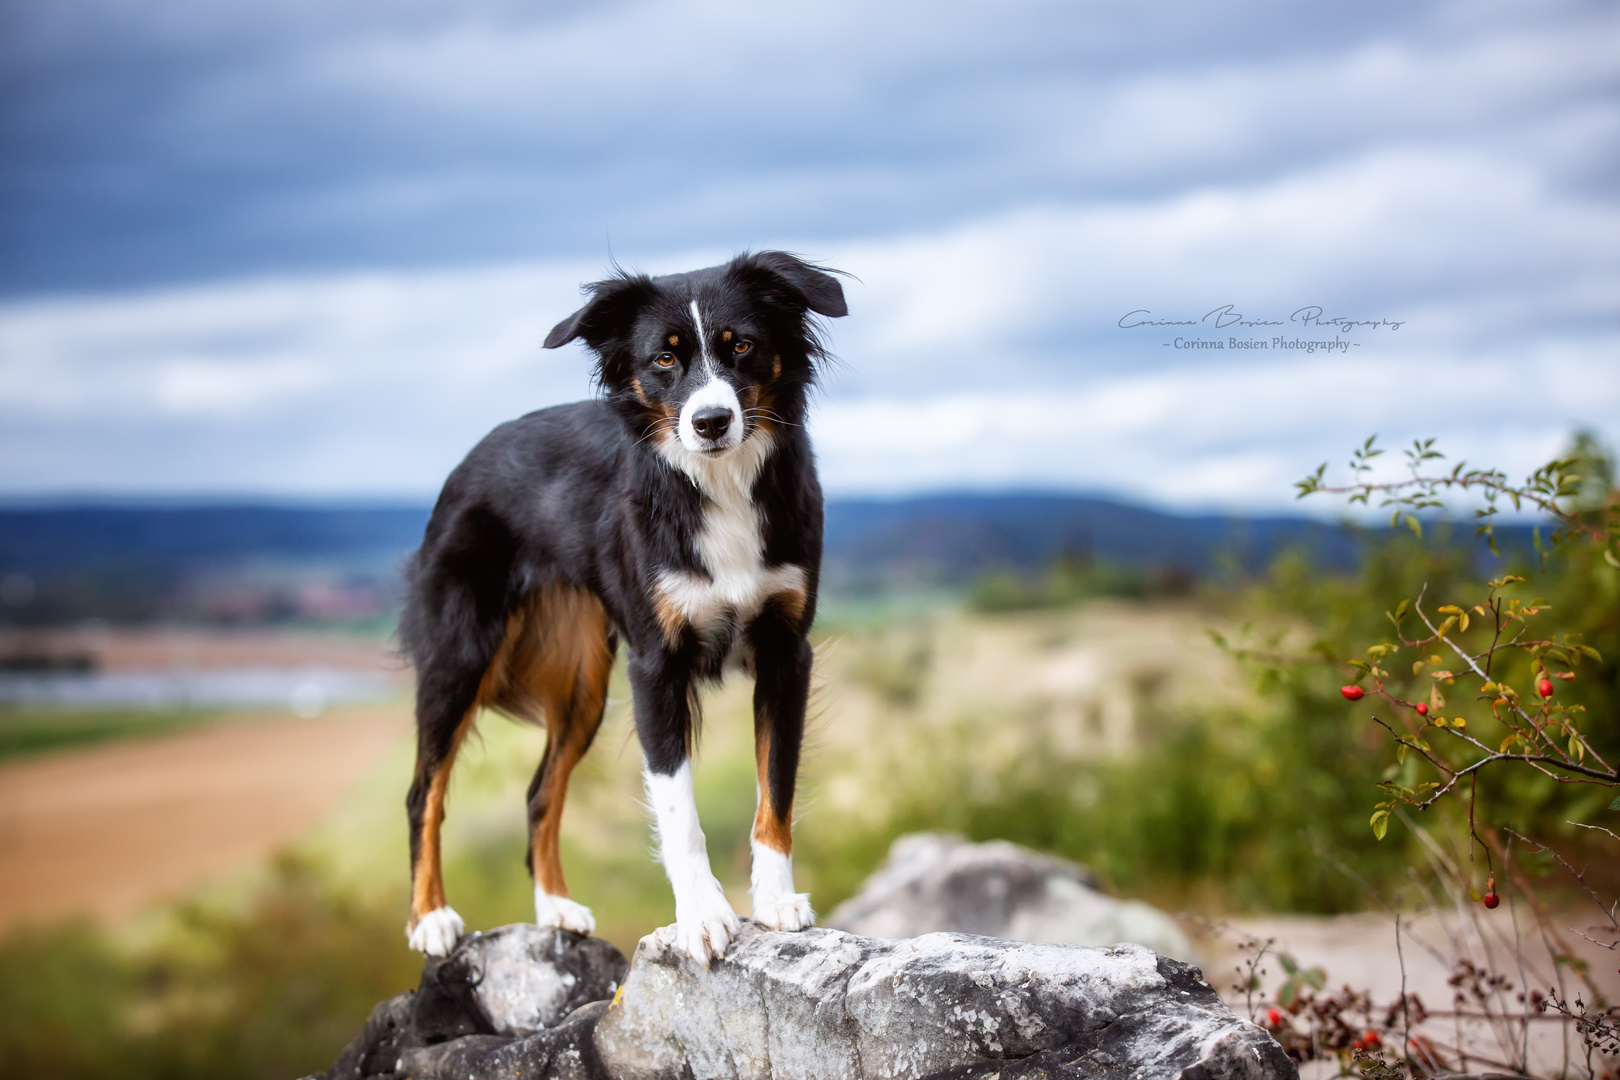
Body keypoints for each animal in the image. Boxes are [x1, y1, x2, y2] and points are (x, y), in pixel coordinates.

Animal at [398, 250, 848, 965]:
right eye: (663, 359)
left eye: (741, 346)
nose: (710, 422)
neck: (717, 485)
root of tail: (468, 460)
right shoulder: (654, 667)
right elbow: (680, 811)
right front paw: (702, 918)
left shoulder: (786, 652)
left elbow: (774, 786)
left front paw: (776, 900)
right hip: (459, 657)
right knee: (424, 793)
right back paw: (430, 917)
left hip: (582, 683)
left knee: (539, 791)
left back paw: (555, 909)